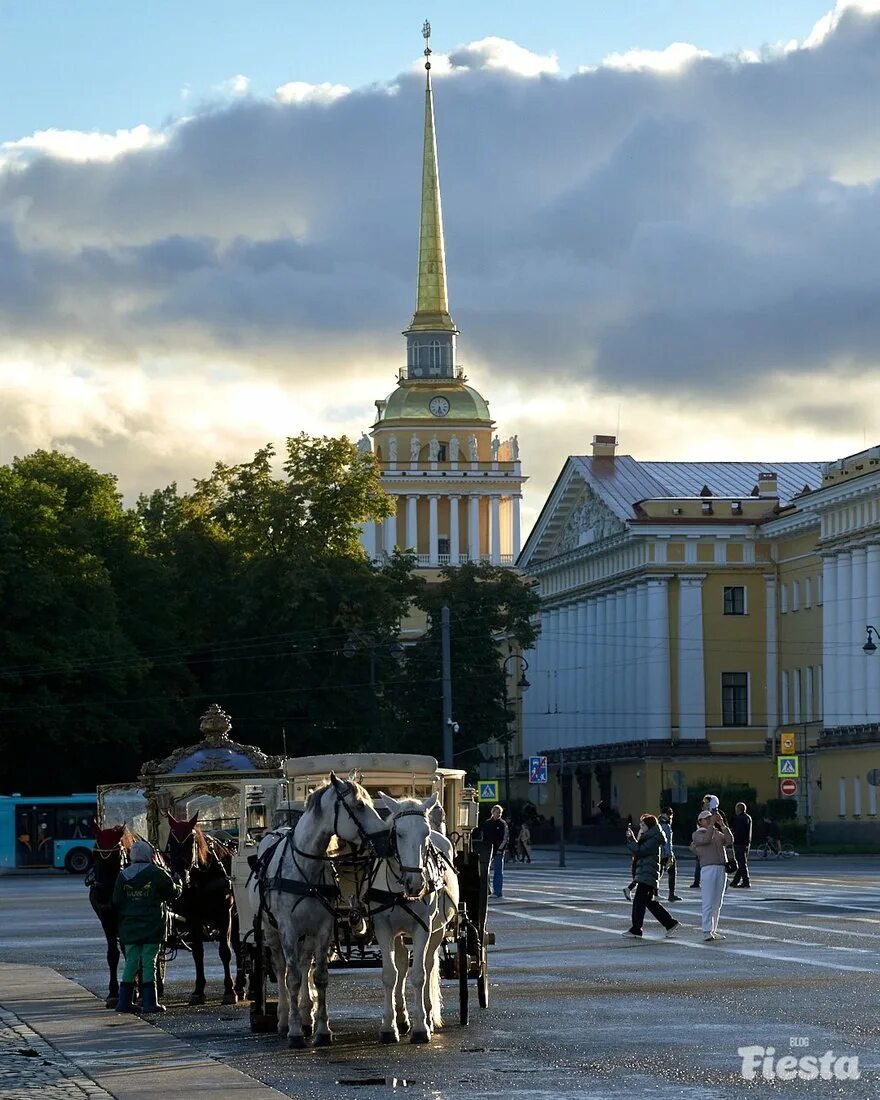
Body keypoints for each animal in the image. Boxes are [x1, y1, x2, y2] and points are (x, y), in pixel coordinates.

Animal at [253, 774, 387, 1047]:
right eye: (358, 805)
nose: (384, 837)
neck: (306, 867)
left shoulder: (323, 929)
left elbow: (319, 976)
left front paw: (322, 1029)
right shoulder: (288, 929)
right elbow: (292, 978)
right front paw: (294, 1031)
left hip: (307, 935)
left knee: (305, 964)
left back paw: (306, 1015)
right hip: (272, 932)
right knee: (282, 970)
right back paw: (284, 1019)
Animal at [367, 796, 459, 1042]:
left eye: (425, 833)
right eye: (398, 833)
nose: (416, 884)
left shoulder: (423, 928)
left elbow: (419, 975)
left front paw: (421, 1027)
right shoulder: (383, 928)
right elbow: (390, 974)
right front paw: (389, 1027)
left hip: (438, 931)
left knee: (428, 964)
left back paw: (427, 1016)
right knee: (400, 964)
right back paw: (401, 1018)